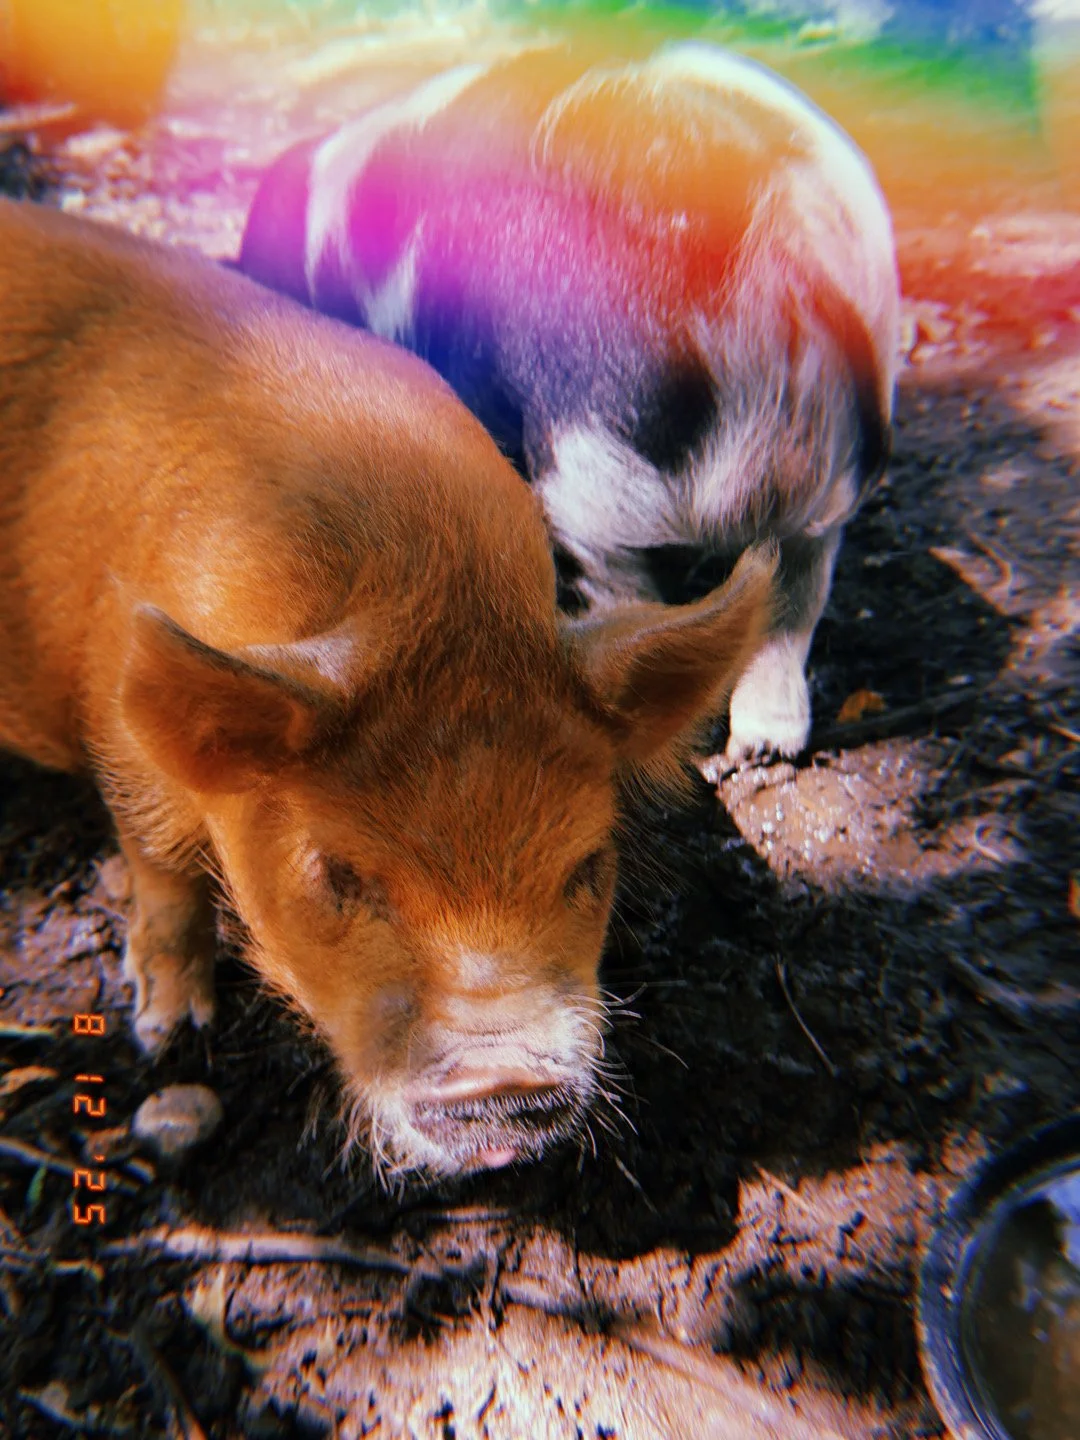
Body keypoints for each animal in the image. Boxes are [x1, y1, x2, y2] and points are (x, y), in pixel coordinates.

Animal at [0, 197, 776, 1181]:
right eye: (337, 874)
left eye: (588, 865)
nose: (503, 1080)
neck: (427, 583)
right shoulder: (114, 713)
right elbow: (161, 863)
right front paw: (169, 1034)